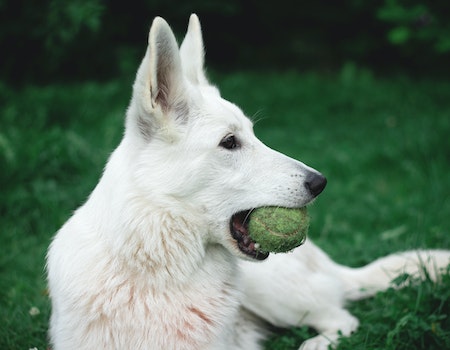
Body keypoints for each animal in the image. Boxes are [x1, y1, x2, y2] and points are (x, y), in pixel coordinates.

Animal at [46, 14, 450, 350]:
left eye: (253, 135)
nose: (320, 182)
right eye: (230, 142)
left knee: (342, 318)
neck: (156, 272)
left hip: (271, 291)